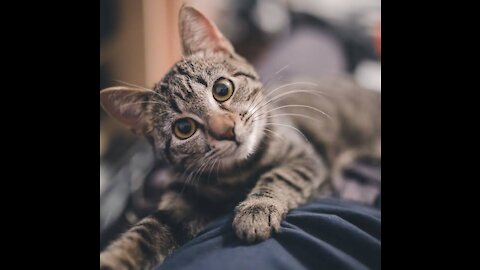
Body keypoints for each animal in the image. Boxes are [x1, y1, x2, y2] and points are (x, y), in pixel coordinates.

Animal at [99, 4, 380, 270]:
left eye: (222, 89)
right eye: (184, 128)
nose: (225, 130)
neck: (239, 171)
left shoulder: (305, 156)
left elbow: (280, 175)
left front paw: (256, 210)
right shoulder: (181, 201)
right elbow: (144, 233)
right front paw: (114, 259)